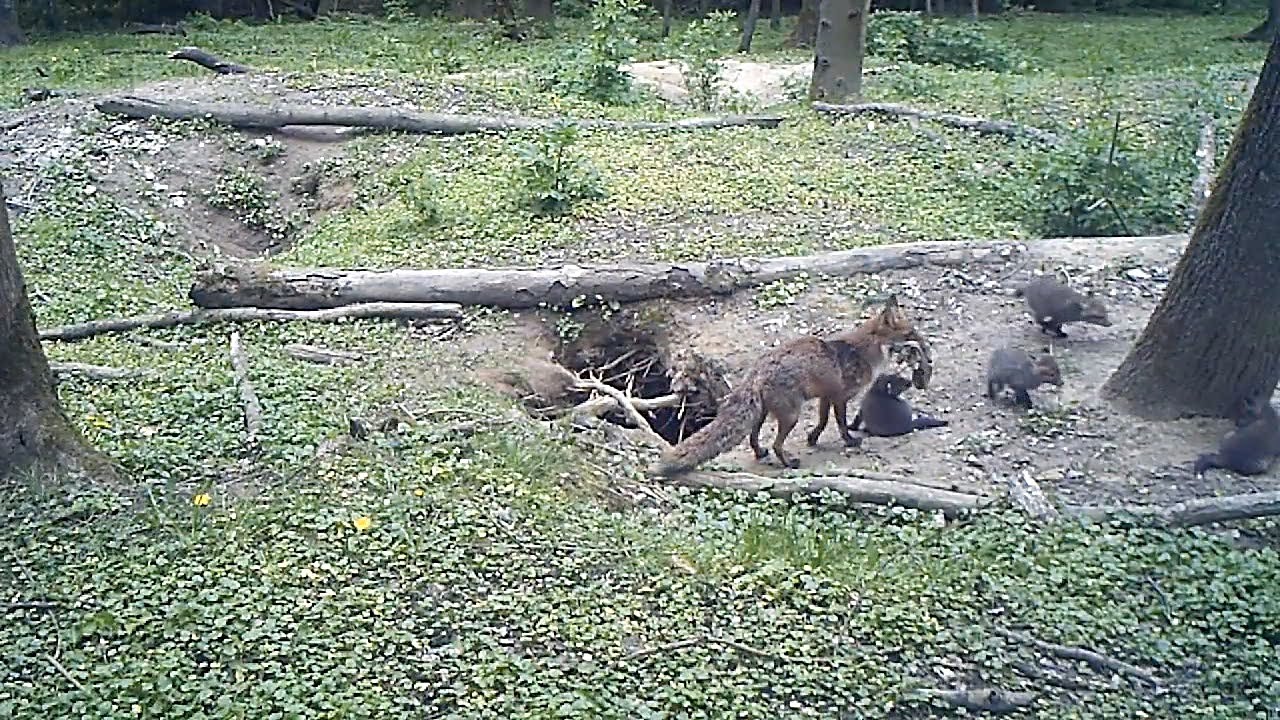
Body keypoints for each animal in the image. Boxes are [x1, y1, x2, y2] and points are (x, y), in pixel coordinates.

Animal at [651, 295, 926, 476]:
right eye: (910, 333)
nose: (924, 344)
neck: (863, 352)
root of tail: (758, 369)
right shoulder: (840, 397)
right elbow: (839, 423)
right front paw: (849, 441)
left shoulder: (826, 396)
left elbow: (823, 421)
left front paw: (813, 438)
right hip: (791, 415)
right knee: (776, 443)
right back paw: (787, 463)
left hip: (764, 413)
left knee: (753, 436)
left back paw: (761, 453)